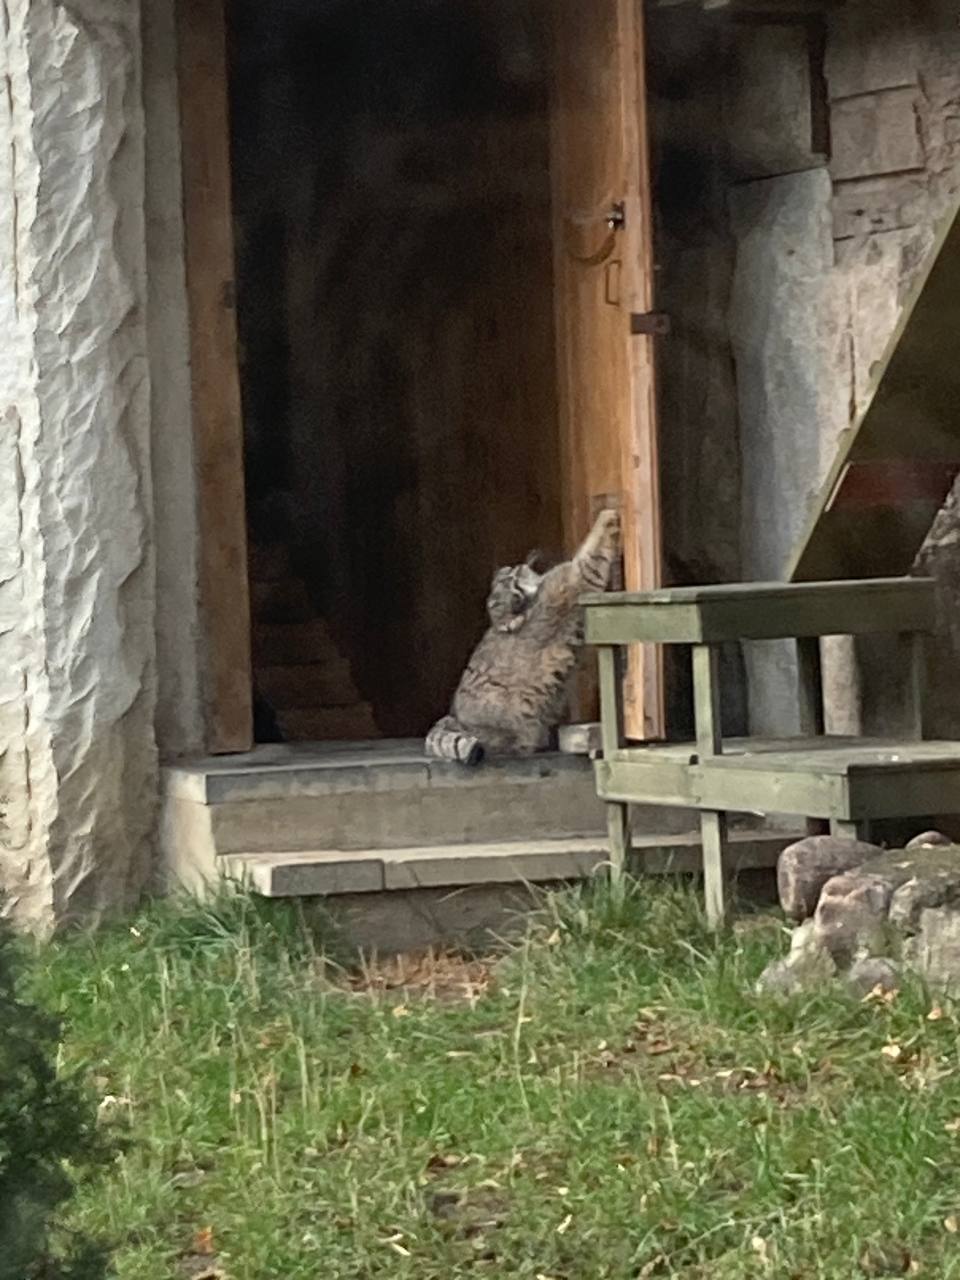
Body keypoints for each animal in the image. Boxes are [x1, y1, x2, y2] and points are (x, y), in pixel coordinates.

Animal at [424, 506, 619, 768]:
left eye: (511, 575)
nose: (516, 589)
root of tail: (449, 719)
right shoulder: (575, 578)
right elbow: (591, 551)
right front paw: (608, 515)